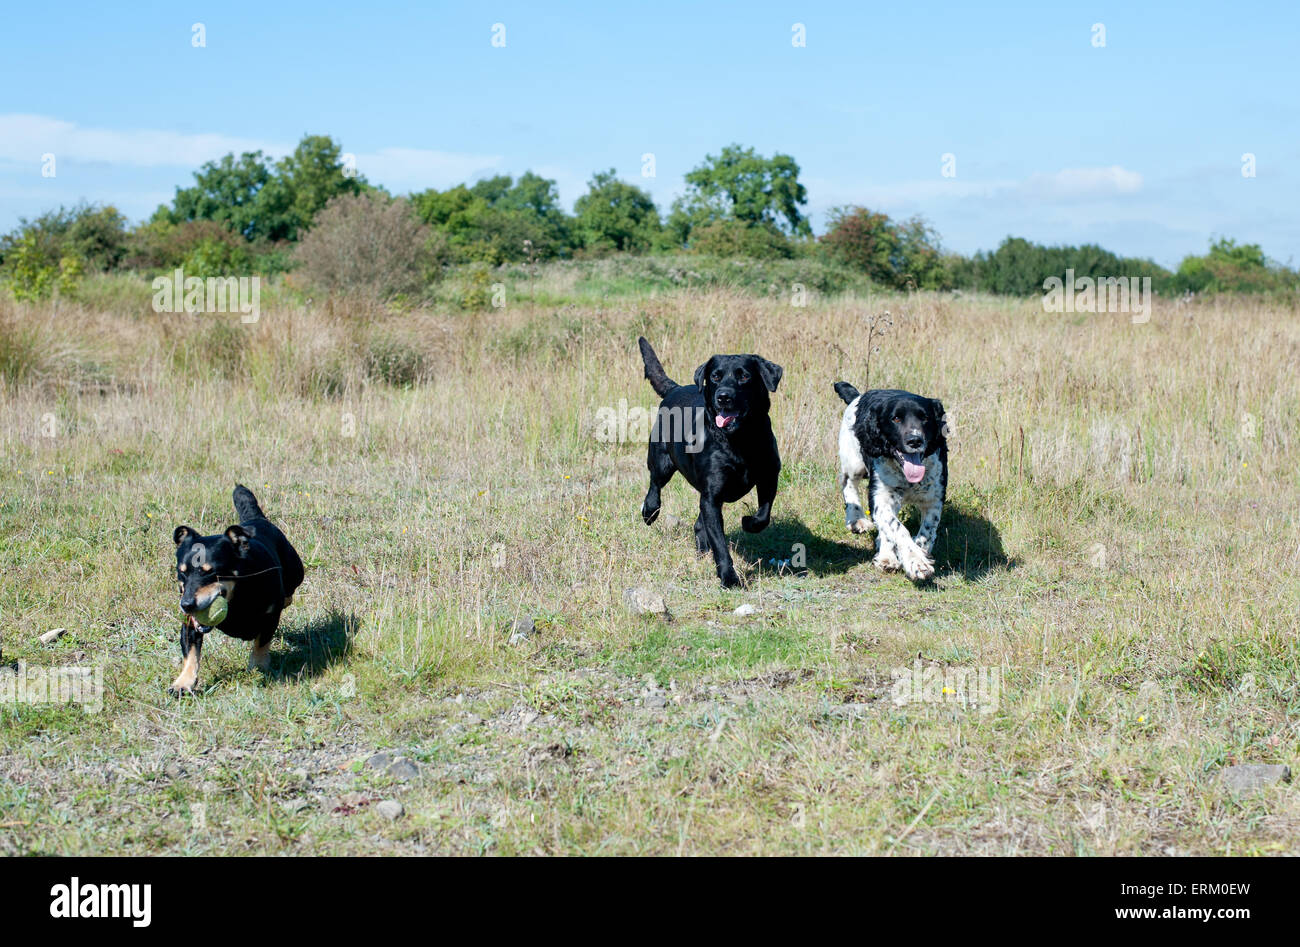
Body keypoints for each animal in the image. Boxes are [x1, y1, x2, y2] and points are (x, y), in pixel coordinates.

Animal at [170, 489, 304, 697]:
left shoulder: (271, 616)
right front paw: (183, 683)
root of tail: (257, 518)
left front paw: (257, 669)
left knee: (289, 593)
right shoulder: (190, 624)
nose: (186, 604)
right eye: (181, 572)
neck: (237, 597)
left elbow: (261, 644)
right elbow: (191, 654)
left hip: (296, 571)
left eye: (210, 572)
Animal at [639, 333, 780, 585]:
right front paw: (729, 578)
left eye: (744, 375)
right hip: (661, 460)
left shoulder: (769, 477)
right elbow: (720, 544)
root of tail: (675, 388)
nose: (723, 396)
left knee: (698, 524)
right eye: (715, 376)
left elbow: (763, 515)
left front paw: (748, 522)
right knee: (655, 485)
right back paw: (649, 511)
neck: (741, 440)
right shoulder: (712, 496)